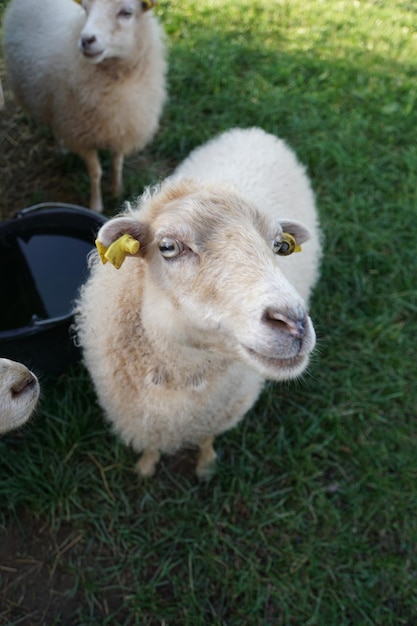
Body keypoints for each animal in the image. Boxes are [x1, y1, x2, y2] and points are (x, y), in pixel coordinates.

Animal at [2, 0, 167, 212]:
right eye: (86, 9)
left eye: (126, 12)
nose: (86, 40)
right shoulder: (80, 134)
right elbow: (96, 172)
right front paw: (96, 205)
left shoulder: (121, 128)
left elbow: (117, 163)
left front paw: (117, 191)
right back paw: (62, 148)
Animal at [75, 128, 322, 478]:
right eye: (168, 247)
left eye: (279, 246)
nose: (294, 323)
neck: (182, 370)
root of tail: (255, 132)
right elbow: (152, 446)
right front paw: (146, 467)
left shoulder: (218, 414)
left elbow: (206, 438)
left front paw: (205, 466)